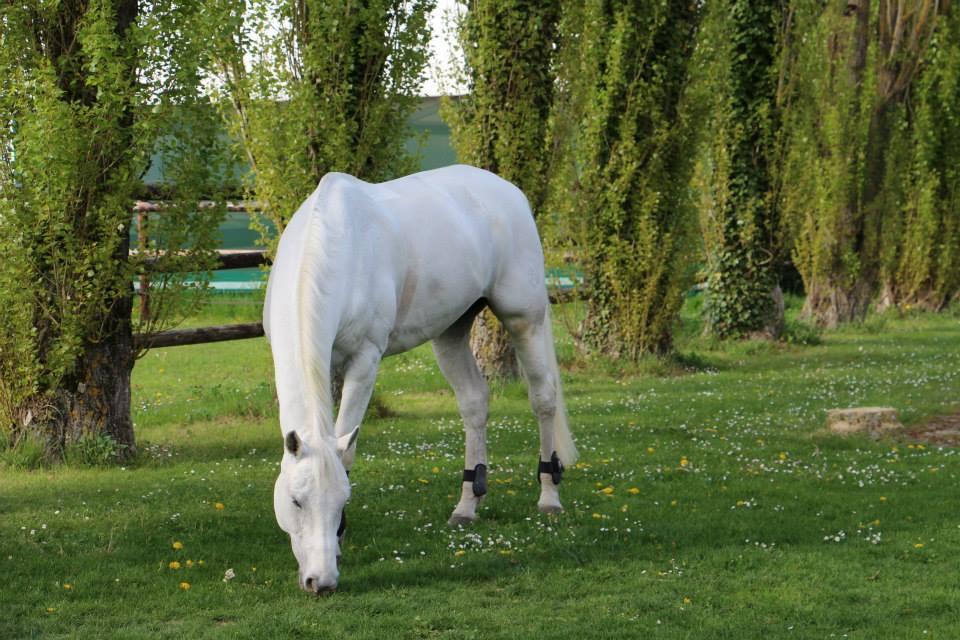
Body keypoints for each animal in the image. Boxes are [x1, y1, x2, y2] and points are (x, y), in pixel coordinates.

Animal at [262, 165, 576, 596]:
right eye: (295, 501)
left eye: (342, 503)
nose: (320, 581)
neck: (336, 246)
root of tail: (510, 192)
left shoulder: (365, 362)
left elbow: (346, 454)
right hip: (451, 331)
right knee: (474, 403)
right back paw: (466, 506)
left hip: (523, 318)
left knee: (543, 397)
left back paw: (549, 497)